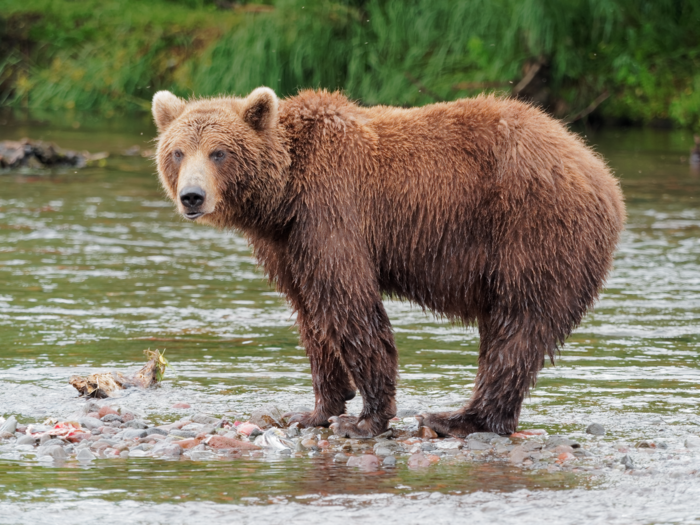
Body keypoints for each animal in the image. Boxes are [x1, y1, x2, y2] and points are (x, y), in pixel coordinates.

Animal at [152, 87, 624, 438]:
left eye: (219, 152)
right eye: (178, 152)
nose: (192, 196)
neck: (283, 196)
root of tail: (601, 171)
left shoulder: (332, 211)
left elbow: (349, 305)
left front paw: (365, 419)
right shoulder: (287, 245)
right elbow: (311, 315)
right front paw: (315, 410)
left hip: (534, 231)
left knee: (518, 326)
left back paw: (458, 418)